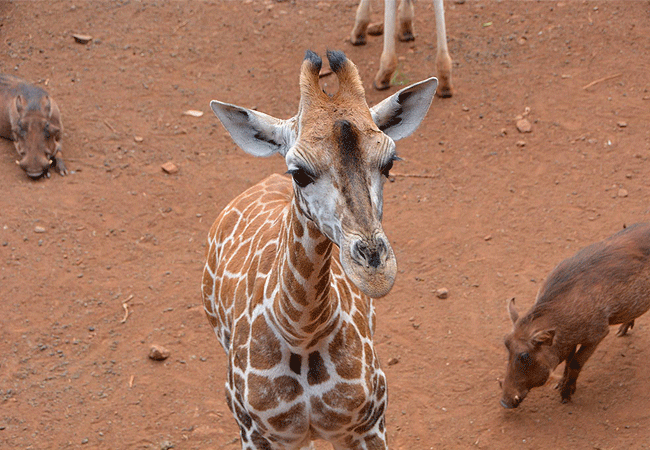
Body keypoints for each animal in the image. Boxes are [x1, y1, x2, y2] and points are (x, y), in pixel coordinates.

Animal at [200, 50, 438, 450]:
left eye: (389, 164)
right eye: (299, 172)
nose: (375, 273)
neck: (302, 331)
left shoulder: (369, 423)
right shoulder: (254, 433)